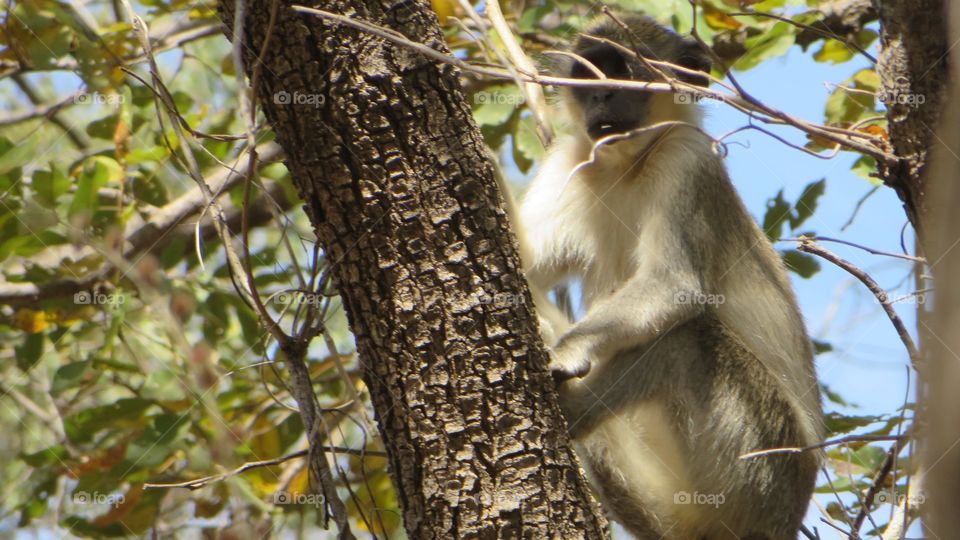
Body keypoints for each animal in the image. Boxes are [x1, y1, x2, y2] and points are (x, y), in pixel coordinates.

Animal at [505, 14, 823, 540]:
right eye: (588, 76)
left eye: (621, 71)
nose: (600, 97)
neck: (631, 166)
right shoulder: (571, 156)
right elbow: (526, 265)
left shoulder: (688, 158)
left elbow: (675, 286)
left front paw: (569, 350)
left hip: (761, 462)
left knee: (685, 337)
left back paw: (570, 411)